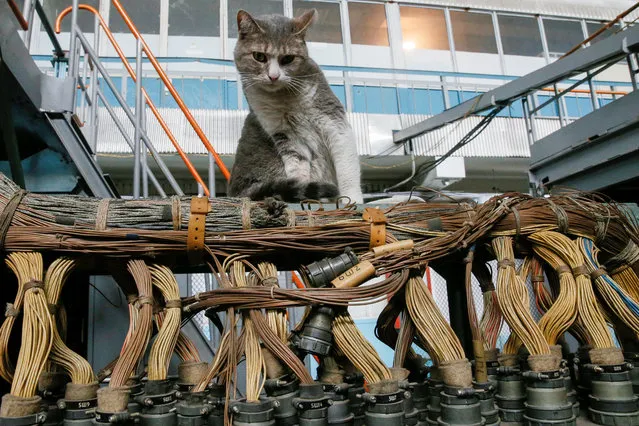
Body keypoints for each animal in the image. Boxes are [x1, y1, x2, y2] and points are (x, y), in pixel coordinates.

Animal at [228, 7, 362, 205]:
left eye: (288, 59)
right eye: (259, 56)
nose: (273, 76)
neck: (284, 98)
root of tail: (237, 193)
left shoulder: (333, 121)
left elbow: (346, 166)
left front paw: (352, 199)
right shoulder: (284, 133)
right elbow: (297, 166)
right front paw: (303, 191)